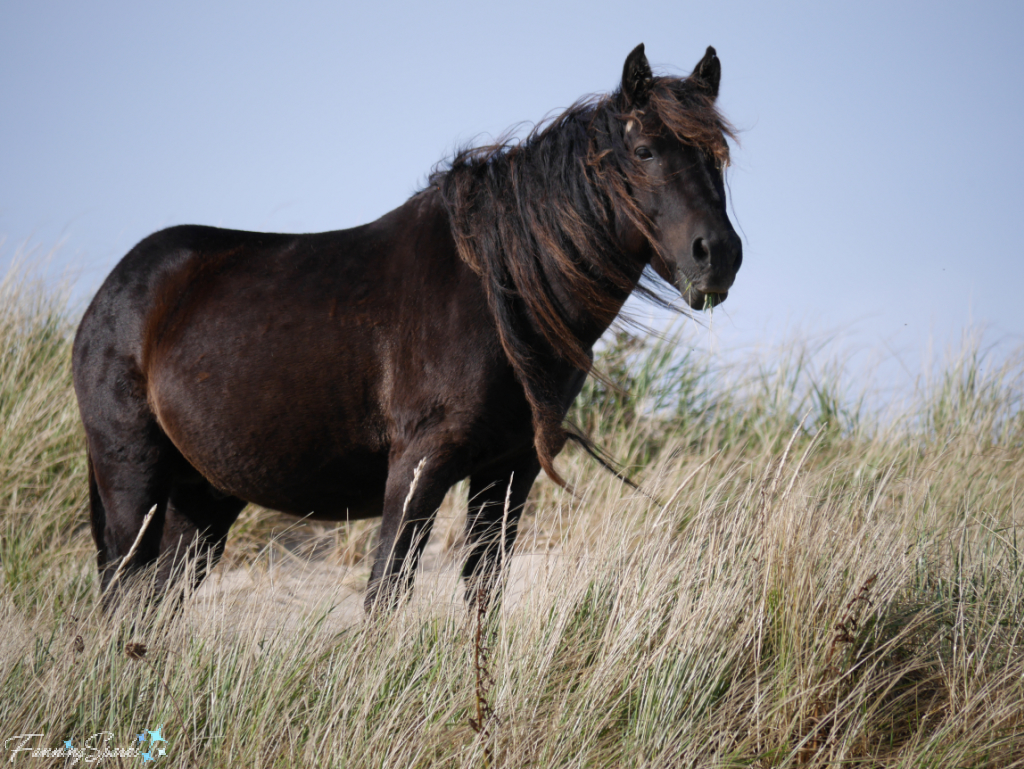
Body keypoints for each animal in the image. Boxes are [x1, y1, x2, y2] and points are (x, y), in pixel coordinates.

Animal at [74, 46, 745, 614]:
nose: (718, 256)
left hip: (205, 493)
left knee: (157, 604)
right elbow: (386, 593)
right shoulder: (420, 465)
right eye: (646, 151)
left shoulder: (509, 470)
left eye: (718, 156)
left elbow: (484, 592)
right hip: (132, 478)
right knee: (122, 591)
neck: (498, 295)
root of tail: (114, 292)